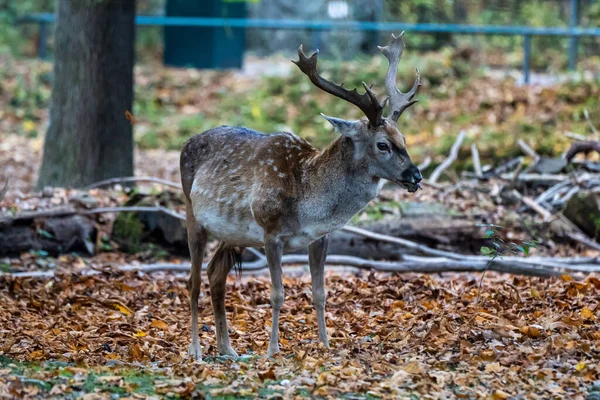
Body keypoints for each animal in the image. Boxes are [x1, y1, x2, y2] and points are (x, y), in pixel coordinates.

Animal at [179, 32, 422, 360]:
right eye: (383, 144)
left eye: (404, 139)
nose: (416, 176)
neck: (307, 201)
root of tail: (185, 144)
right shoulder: (271, 231)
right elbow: (277, 294)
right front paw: (272, 350)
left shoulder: (320, 236)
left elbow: (320, 293)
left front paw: (325, 345)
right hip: (192, 212)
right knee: (192, 281)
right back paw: (195, 350)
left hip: (235, 234)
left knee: (215, 273)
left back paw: (228, 349)